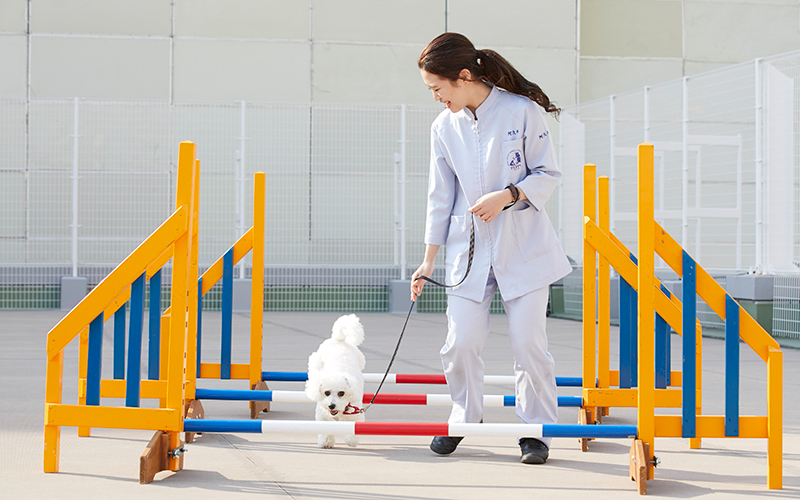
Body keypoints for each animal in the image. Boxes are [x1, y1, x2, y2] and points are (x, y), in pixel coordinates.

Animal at [304, 314, 368, 448]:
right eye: (326, 392)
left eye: (341, 393)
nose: (331, 405)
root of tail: (340, 340)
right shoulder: (323, 417)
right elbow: (326, 430)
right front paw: (326, 442)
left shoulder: (355, 416)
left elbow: (352, 430)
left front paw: (351, 441)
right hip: (317, 361)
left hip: (361, 360)